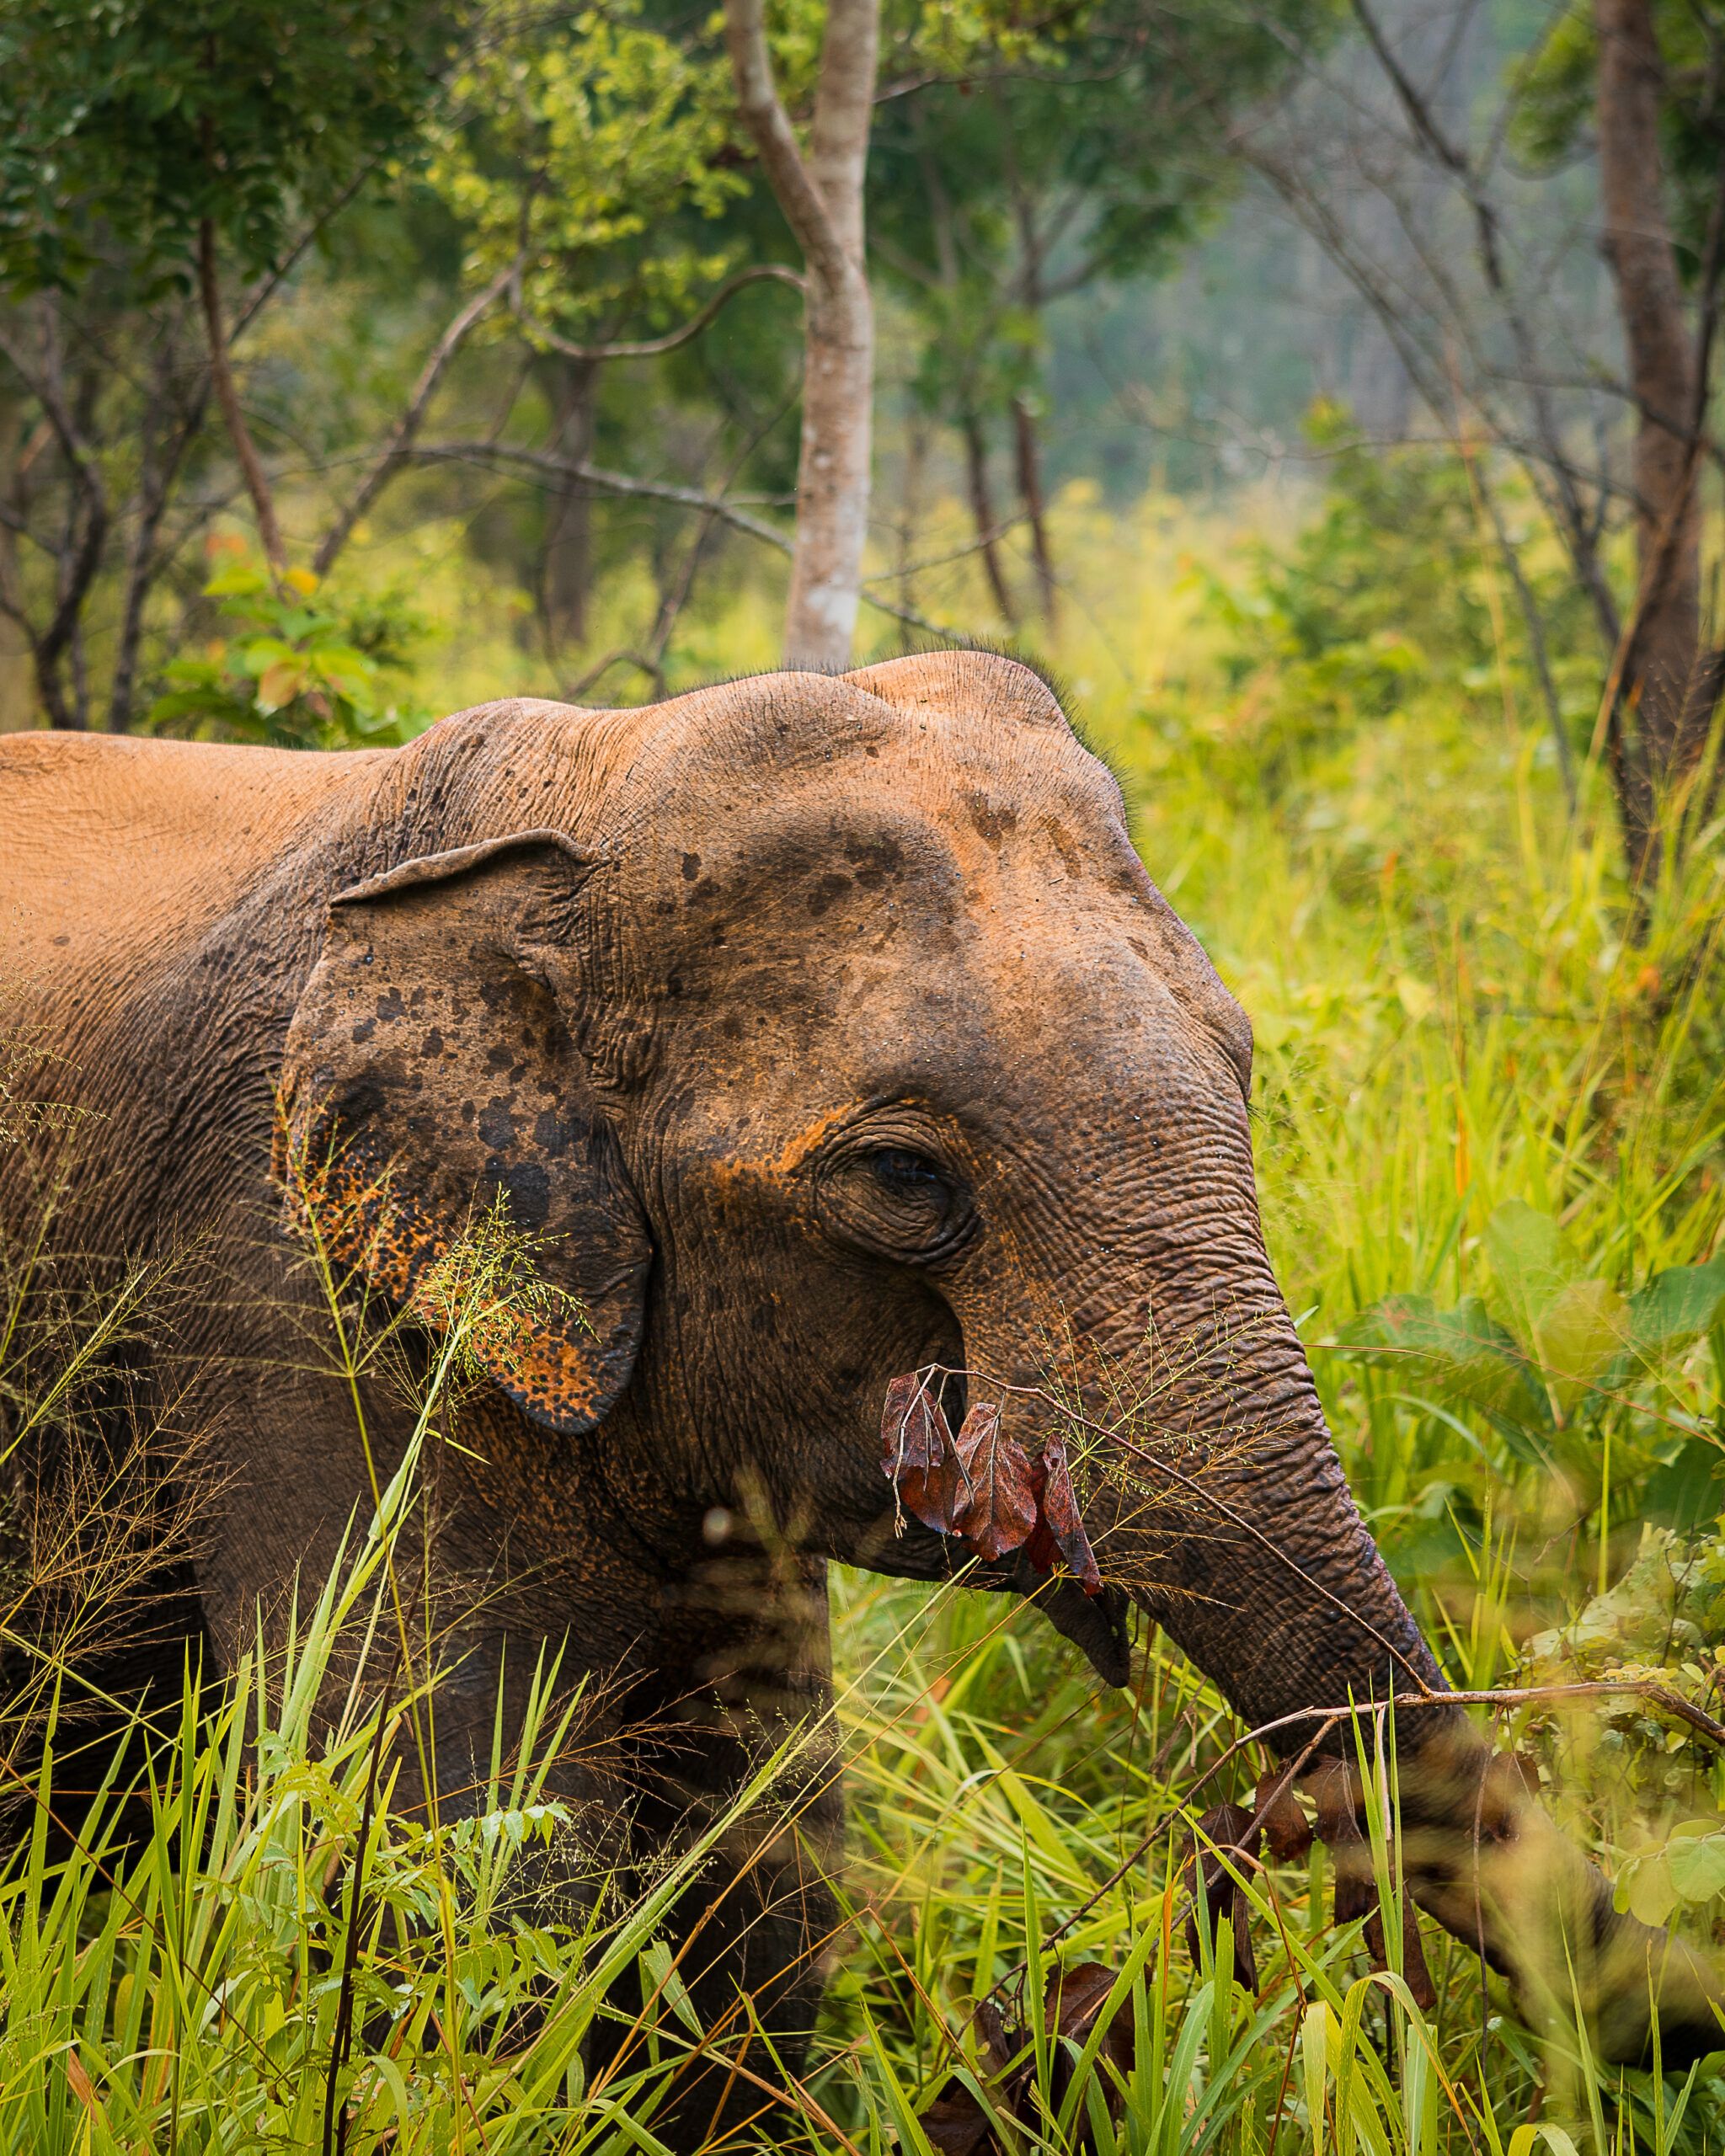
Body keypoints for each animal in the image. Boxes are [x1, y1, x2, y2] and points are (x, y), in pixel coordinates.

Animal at [0, 655, 1716, 2138]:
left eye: (1242, 1073)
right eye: (902, 1180)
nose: (1263, 1823)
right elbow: (461, 1866)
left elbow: (760, 1876)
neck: (580, 791)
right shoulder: (286, 1289)